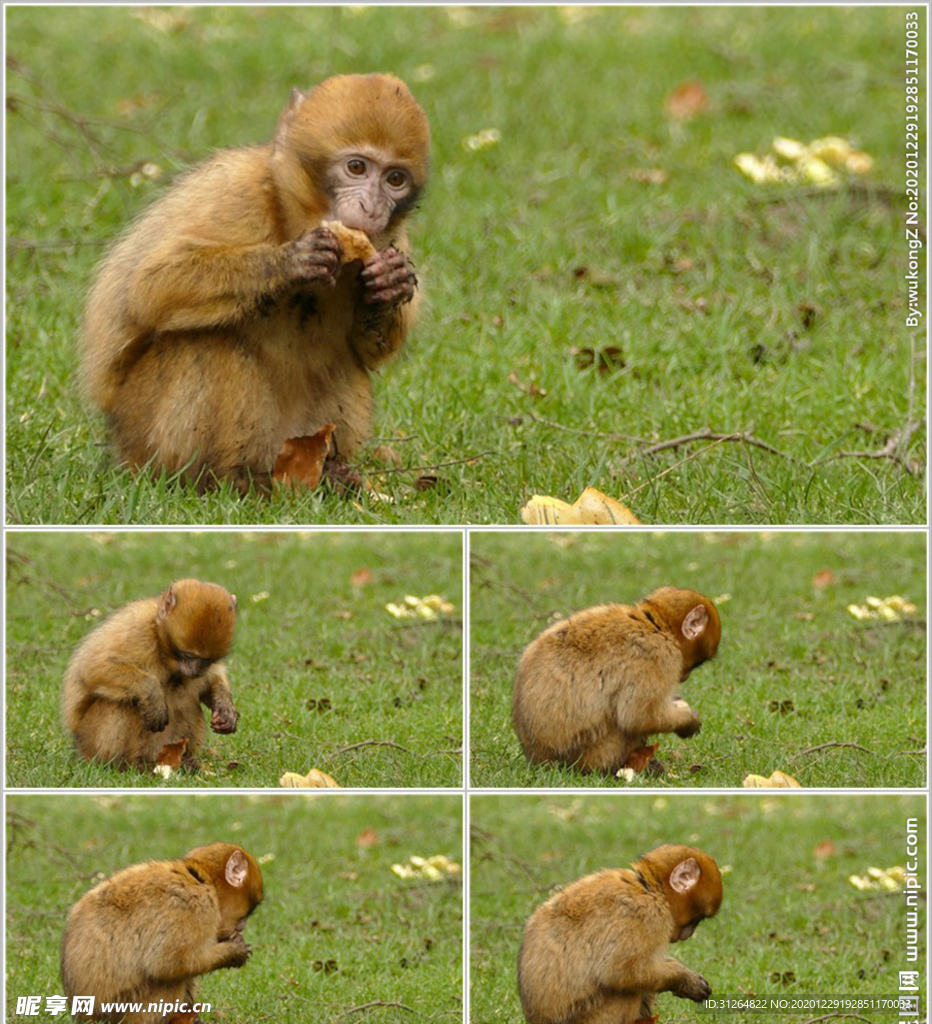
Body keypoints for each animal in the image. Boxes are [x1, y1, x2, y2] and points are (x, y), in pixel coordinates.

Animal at [61, 839, 266, 1024]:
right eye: (246, 914)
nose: (242, 927)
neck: (203, 881)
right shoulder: (193, 906)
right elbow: (167, 963)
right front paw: (233, 952)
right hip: (125, 1008)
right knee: (169, 978)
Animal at [63, 577, 238, 770]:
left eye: (208, 661)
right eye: (188, 656)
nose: (197, 670)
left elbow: (209, 681)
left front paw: (225, 707)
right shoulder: (137, 631)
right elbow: (92, 667)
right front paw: (152, 692)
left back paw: (183, 761)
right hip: (91, 741)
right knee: (118, 703)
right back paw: (123, 766)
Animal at [80, 72, 430, 491]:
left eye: (395, 179)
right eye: (357, 168)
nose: (372, 208)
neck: (296, 215)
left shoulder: (394, 240)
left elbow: (367, 350)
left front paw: (391, 285)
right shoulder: (239, 193)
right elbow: (152, 287)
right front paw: (290, 262)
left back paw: (328, 473)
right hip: (141, 433)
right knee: (204, 343)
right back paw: (223, 481)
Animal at [510, 589, 721, 770]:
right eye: (698, 663)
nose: (685, 676)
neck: (656, 626)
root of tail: (538, 759)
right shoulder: (658, 657)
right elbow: (637, 717)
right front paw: (688, 721)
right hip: (592, 754)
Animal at [518, 843, 721, 1024]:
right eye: (697, 920)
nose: (688, 934)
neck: (648, 889)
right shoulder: (644, 916)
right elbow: (617, 972)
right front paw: (683, 979)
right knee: (625, 991)